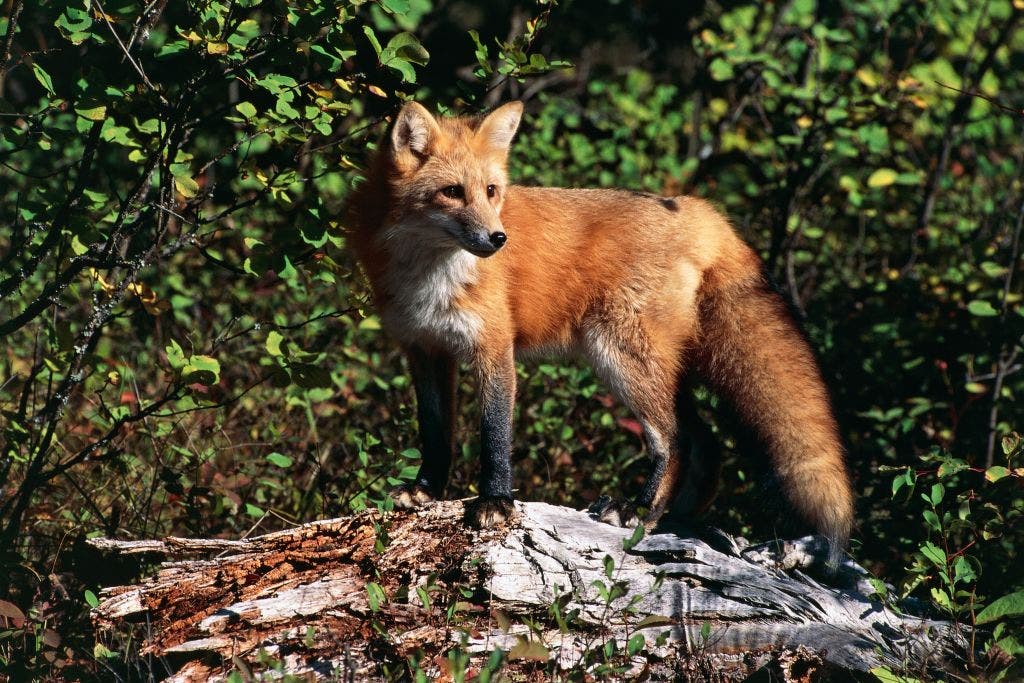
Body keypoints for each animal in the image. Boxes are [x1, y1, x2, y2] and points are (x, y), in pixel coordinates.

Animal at [347, 100, 854, 563]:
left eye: (491, 191)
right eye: (452, 191)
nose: (498, 239)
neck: (429, 276)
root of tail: (698, 209)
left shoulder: (493, 347)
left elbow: (494, 434)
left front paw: (495, 502)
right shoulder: (424, 349)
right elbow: (435, 431)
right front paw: (427, 492)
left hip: (621, 357)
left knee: (675, 439)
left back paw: (641, 511)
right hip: (652, 366)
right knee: (706, 444)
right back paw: (676, 518)